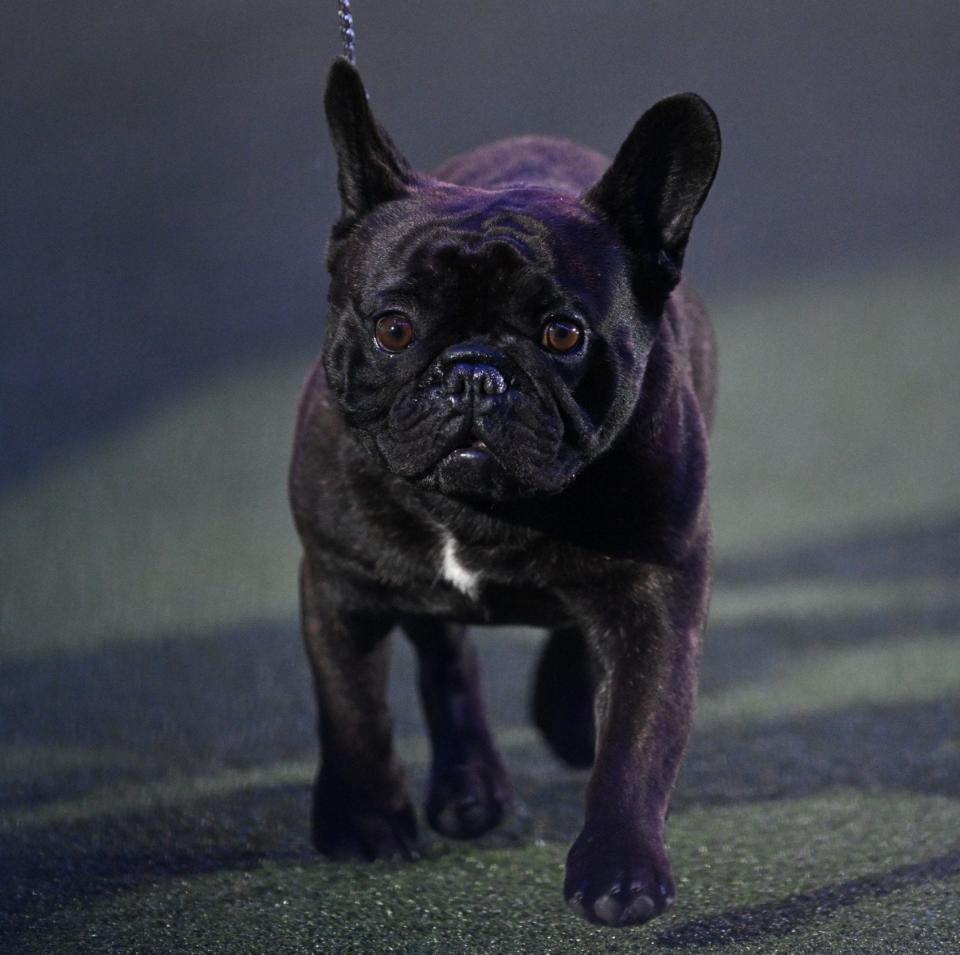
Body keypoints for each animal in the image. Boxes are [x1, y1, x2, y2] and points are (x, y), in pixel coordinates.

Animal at [288, 59, 724, 928]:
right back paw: (470, 784)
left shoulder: (657, 596)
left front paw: (620, 868)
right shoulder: (337, 580)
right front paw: (363, 819)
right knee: (443, 651)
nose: (474, 372)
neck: (479, 512)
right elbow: (352, 704)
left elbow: (637, 738)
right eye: (393, 327)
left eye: (563, 333)